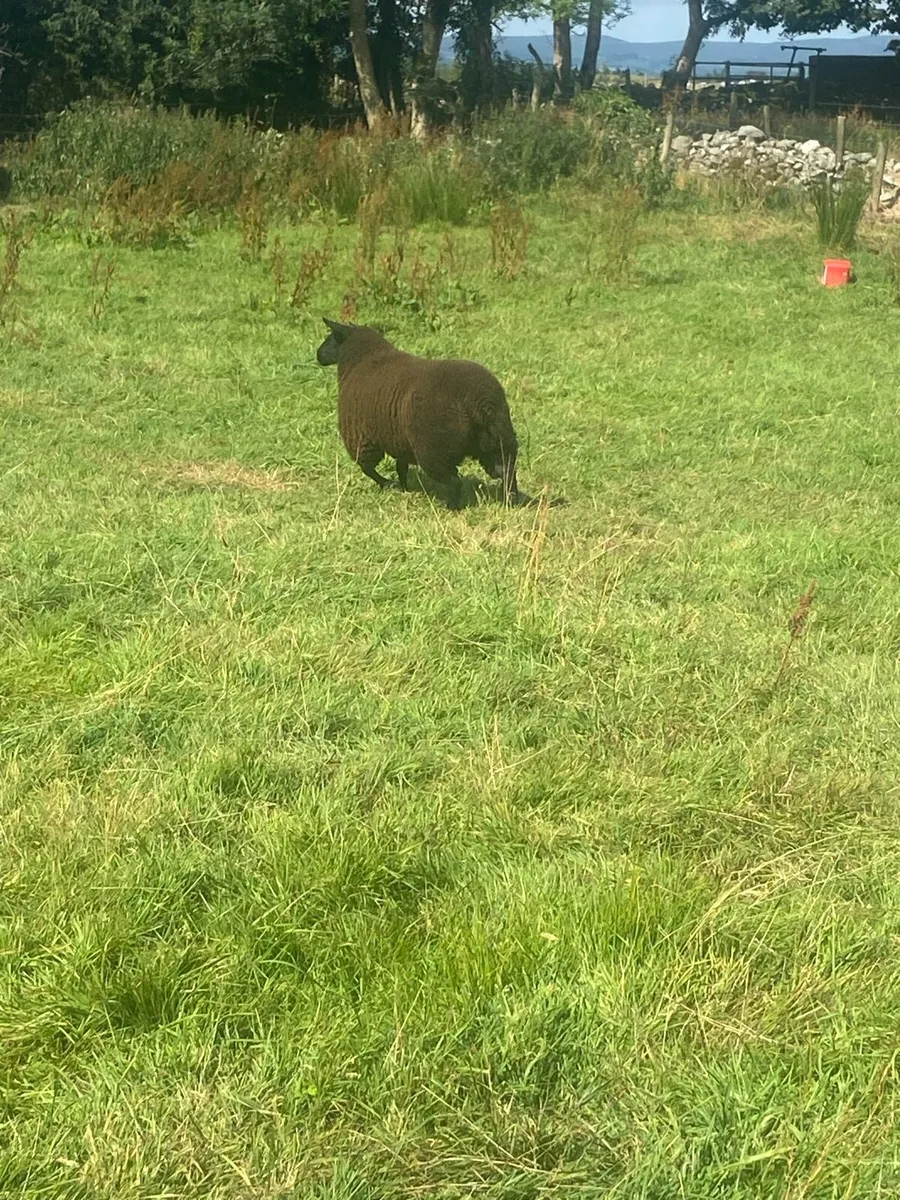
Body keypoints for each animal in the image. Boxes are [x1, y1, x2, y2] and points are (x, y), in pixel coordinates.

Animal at [316, 318, 527, 510]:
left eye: (331, 338)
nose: (318, 355)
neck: (362, 359)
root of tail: (479, 401)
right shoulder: (399, 438)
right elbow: (401, 467)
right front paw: (403, 487)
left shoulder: (362, 437)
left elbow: (368, 468)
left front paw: (388, 484)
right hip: (497, 440)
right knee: (506, 470)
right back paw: (511, 501)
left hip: (435, 449)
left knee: (454, 480)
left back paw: (451, 507)